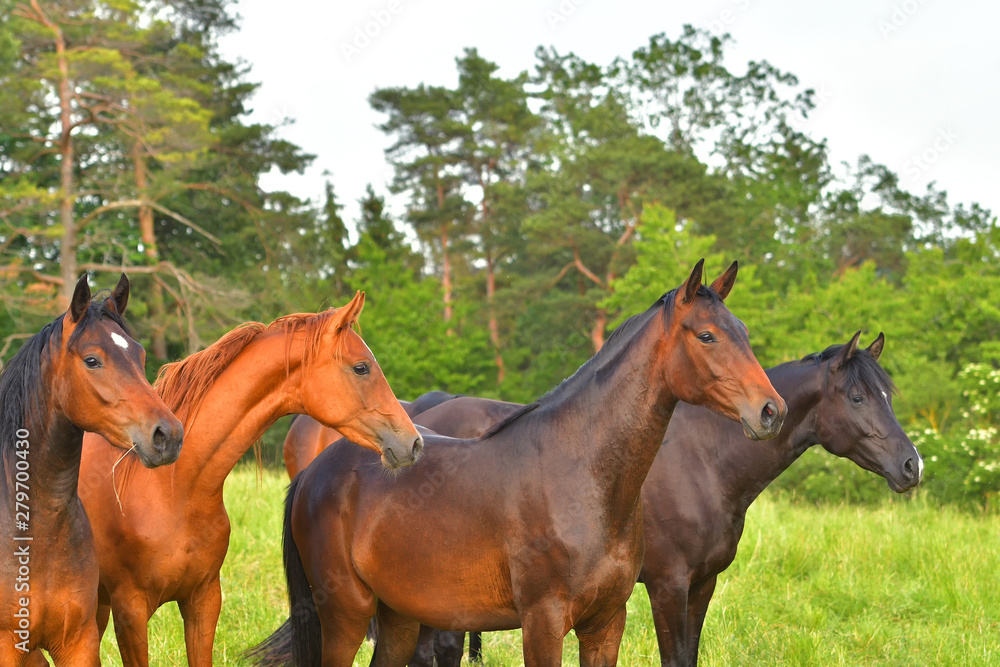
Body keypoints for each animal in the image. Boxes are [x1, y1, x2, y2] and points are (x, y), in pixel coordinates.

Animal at [411, 332, 923, 667]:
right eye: (857, 397)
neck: (708, 462)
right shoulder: (668, 585)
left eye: (885, 395)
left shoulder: (702, 584)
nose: (911, 465)